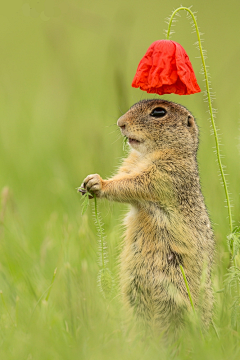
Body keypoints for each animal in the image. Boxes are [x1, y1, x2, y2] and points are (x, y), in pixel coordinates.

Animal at [80, 99, 214, 334]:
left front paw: (99, 183)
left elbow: (131, 184)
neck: (147, 154)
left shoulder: (165, 174)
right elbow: (124, 176)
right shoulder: (129, 164)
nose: (120, 123)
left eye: (158, 112)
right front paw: (88, 181)